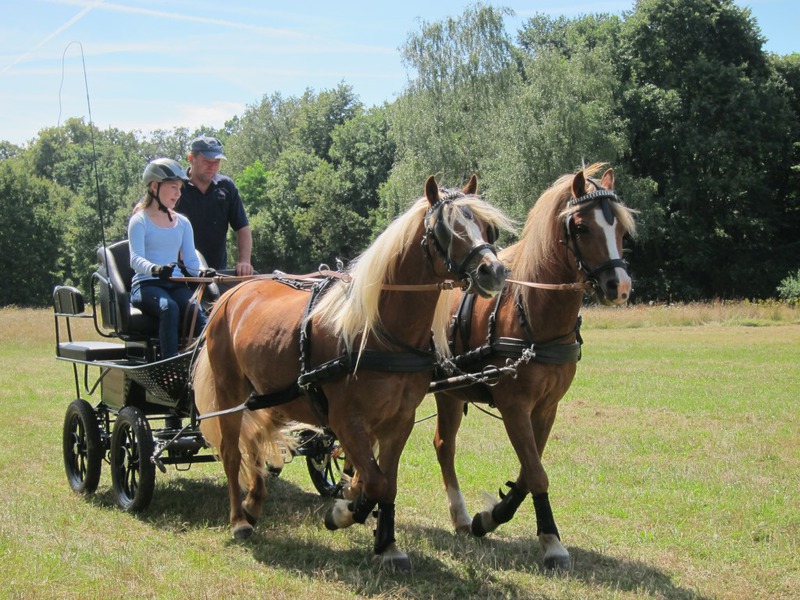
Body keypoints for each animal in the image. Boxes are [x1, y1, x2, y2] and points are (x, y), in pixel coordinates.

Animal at [193, 174, 513, 571]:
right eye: (446, 229)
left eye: (487, 227)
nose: (494, 271)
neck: (380, 330)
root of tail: (232, 293)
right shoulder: (346, 420)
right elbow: (374, 482)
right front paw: (344, 512)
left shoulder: (399, 420)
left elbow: (385, 482)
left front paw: (386, 542)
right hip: (230, 391)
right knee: (232, 450)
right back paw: (239, 519)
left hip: (269, 396)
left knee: (255, 441)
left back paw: (254, 502)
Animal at [431, 163, 636, 569]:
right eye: (581, 227)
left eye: (620, 229)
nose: (618, 286)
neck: (532, 311)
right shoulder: (514, 406)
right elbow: (538, 475)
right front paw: (552, 543)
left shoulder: (545, 407)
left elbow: (530, 471)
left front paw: (491, 517)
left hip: (450, 392)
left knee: (444, 445)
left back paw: (461, 517)